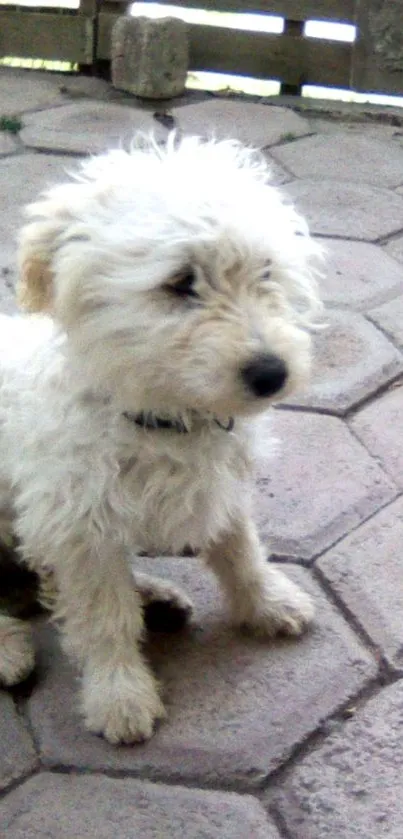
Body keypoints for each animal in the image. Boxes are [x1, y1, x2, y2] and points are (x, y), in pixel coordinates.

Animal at [0, 135, 322, 744]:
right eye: (180, 283)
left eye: (266, 271)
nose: (273, 373)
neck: (160, 414)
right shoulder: (77, 523)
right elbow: (102, 616)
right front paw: (119, 695)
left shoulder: (221, 487)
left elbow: (241, 551)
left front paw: (267, 604)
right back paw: (8, 650)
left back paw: (155, 595)